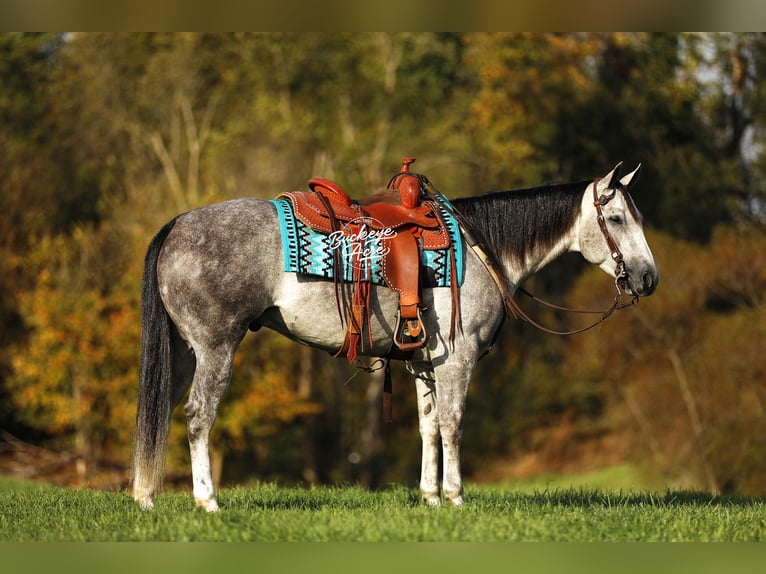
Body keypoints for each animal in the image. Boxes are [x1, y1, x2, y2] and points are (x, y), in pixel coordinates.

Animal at [131, 162, 658, 511]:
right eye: (615, 219)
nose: (648, 277)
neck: (481, 249)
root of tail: (177, 225)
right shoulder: (457, 361)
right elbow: (453, 424)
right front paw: (455, 498)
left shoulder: (425, 364)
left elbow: (428, 427)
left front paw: (430, 499)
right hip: (216, 349)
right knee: (198, 416)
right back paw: (207, 502)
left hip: (183, 354)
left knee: (161, 412)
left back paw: (146, 498)